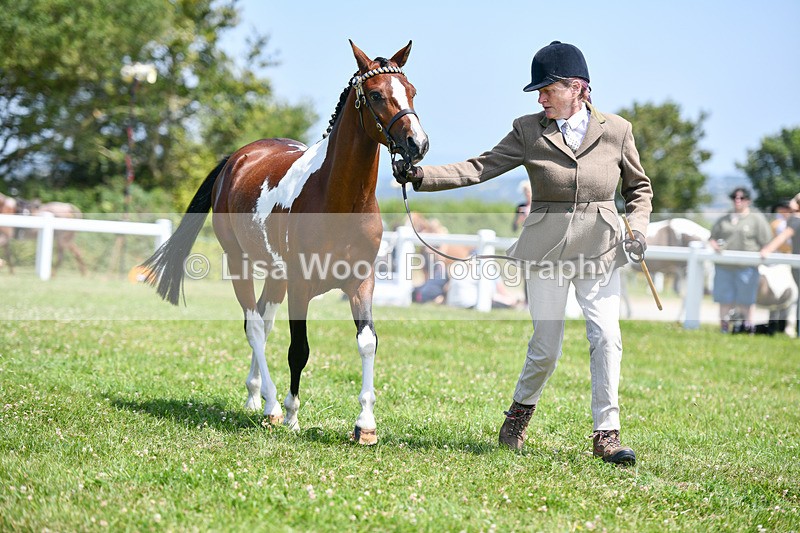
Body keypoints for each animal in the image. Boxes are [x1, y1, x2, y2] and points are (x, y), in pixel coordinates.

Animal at [142, 41, 428, 444]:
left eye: (411, 91)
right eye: (375, 94)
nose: (417, 145)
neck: (338, 198)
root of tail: (237, 159)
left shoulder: (362, 282)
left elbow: (367, 341)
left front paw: (365, 425)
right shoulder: (300, 285)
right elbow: (299, 349)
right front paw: (292, 414)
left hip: (276, 277)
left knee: (263, 322)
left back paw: (255, 395)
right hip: (241, 264)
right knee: (254, 325)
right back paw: (273, 406)